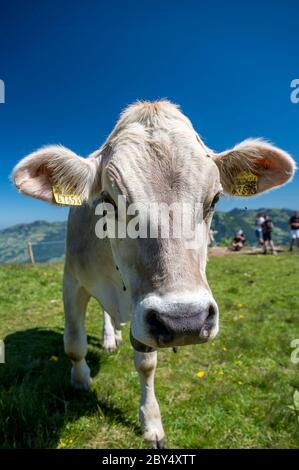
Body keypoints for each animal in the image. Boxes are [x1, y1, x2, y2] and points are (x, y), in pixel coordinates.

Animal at [12, 100, 296, 448]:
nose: (185, 321)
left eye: (215, 199)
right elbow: (74, 343)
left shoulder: (143, 311)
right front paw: (80, 381)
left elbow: (146, 365)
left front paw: (151, 423)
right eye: (107, 199)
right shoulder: (72, 281)